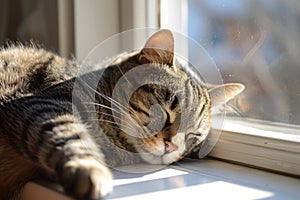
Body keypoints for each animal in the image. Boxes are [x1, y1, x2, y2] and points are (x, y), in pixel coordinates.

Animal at [0, 28, 244, 199]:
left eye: (193, 135)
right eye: (164, 112)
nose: (172, 146)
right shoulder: (41, 103)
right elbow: (69, 134)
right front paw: (88, 169)